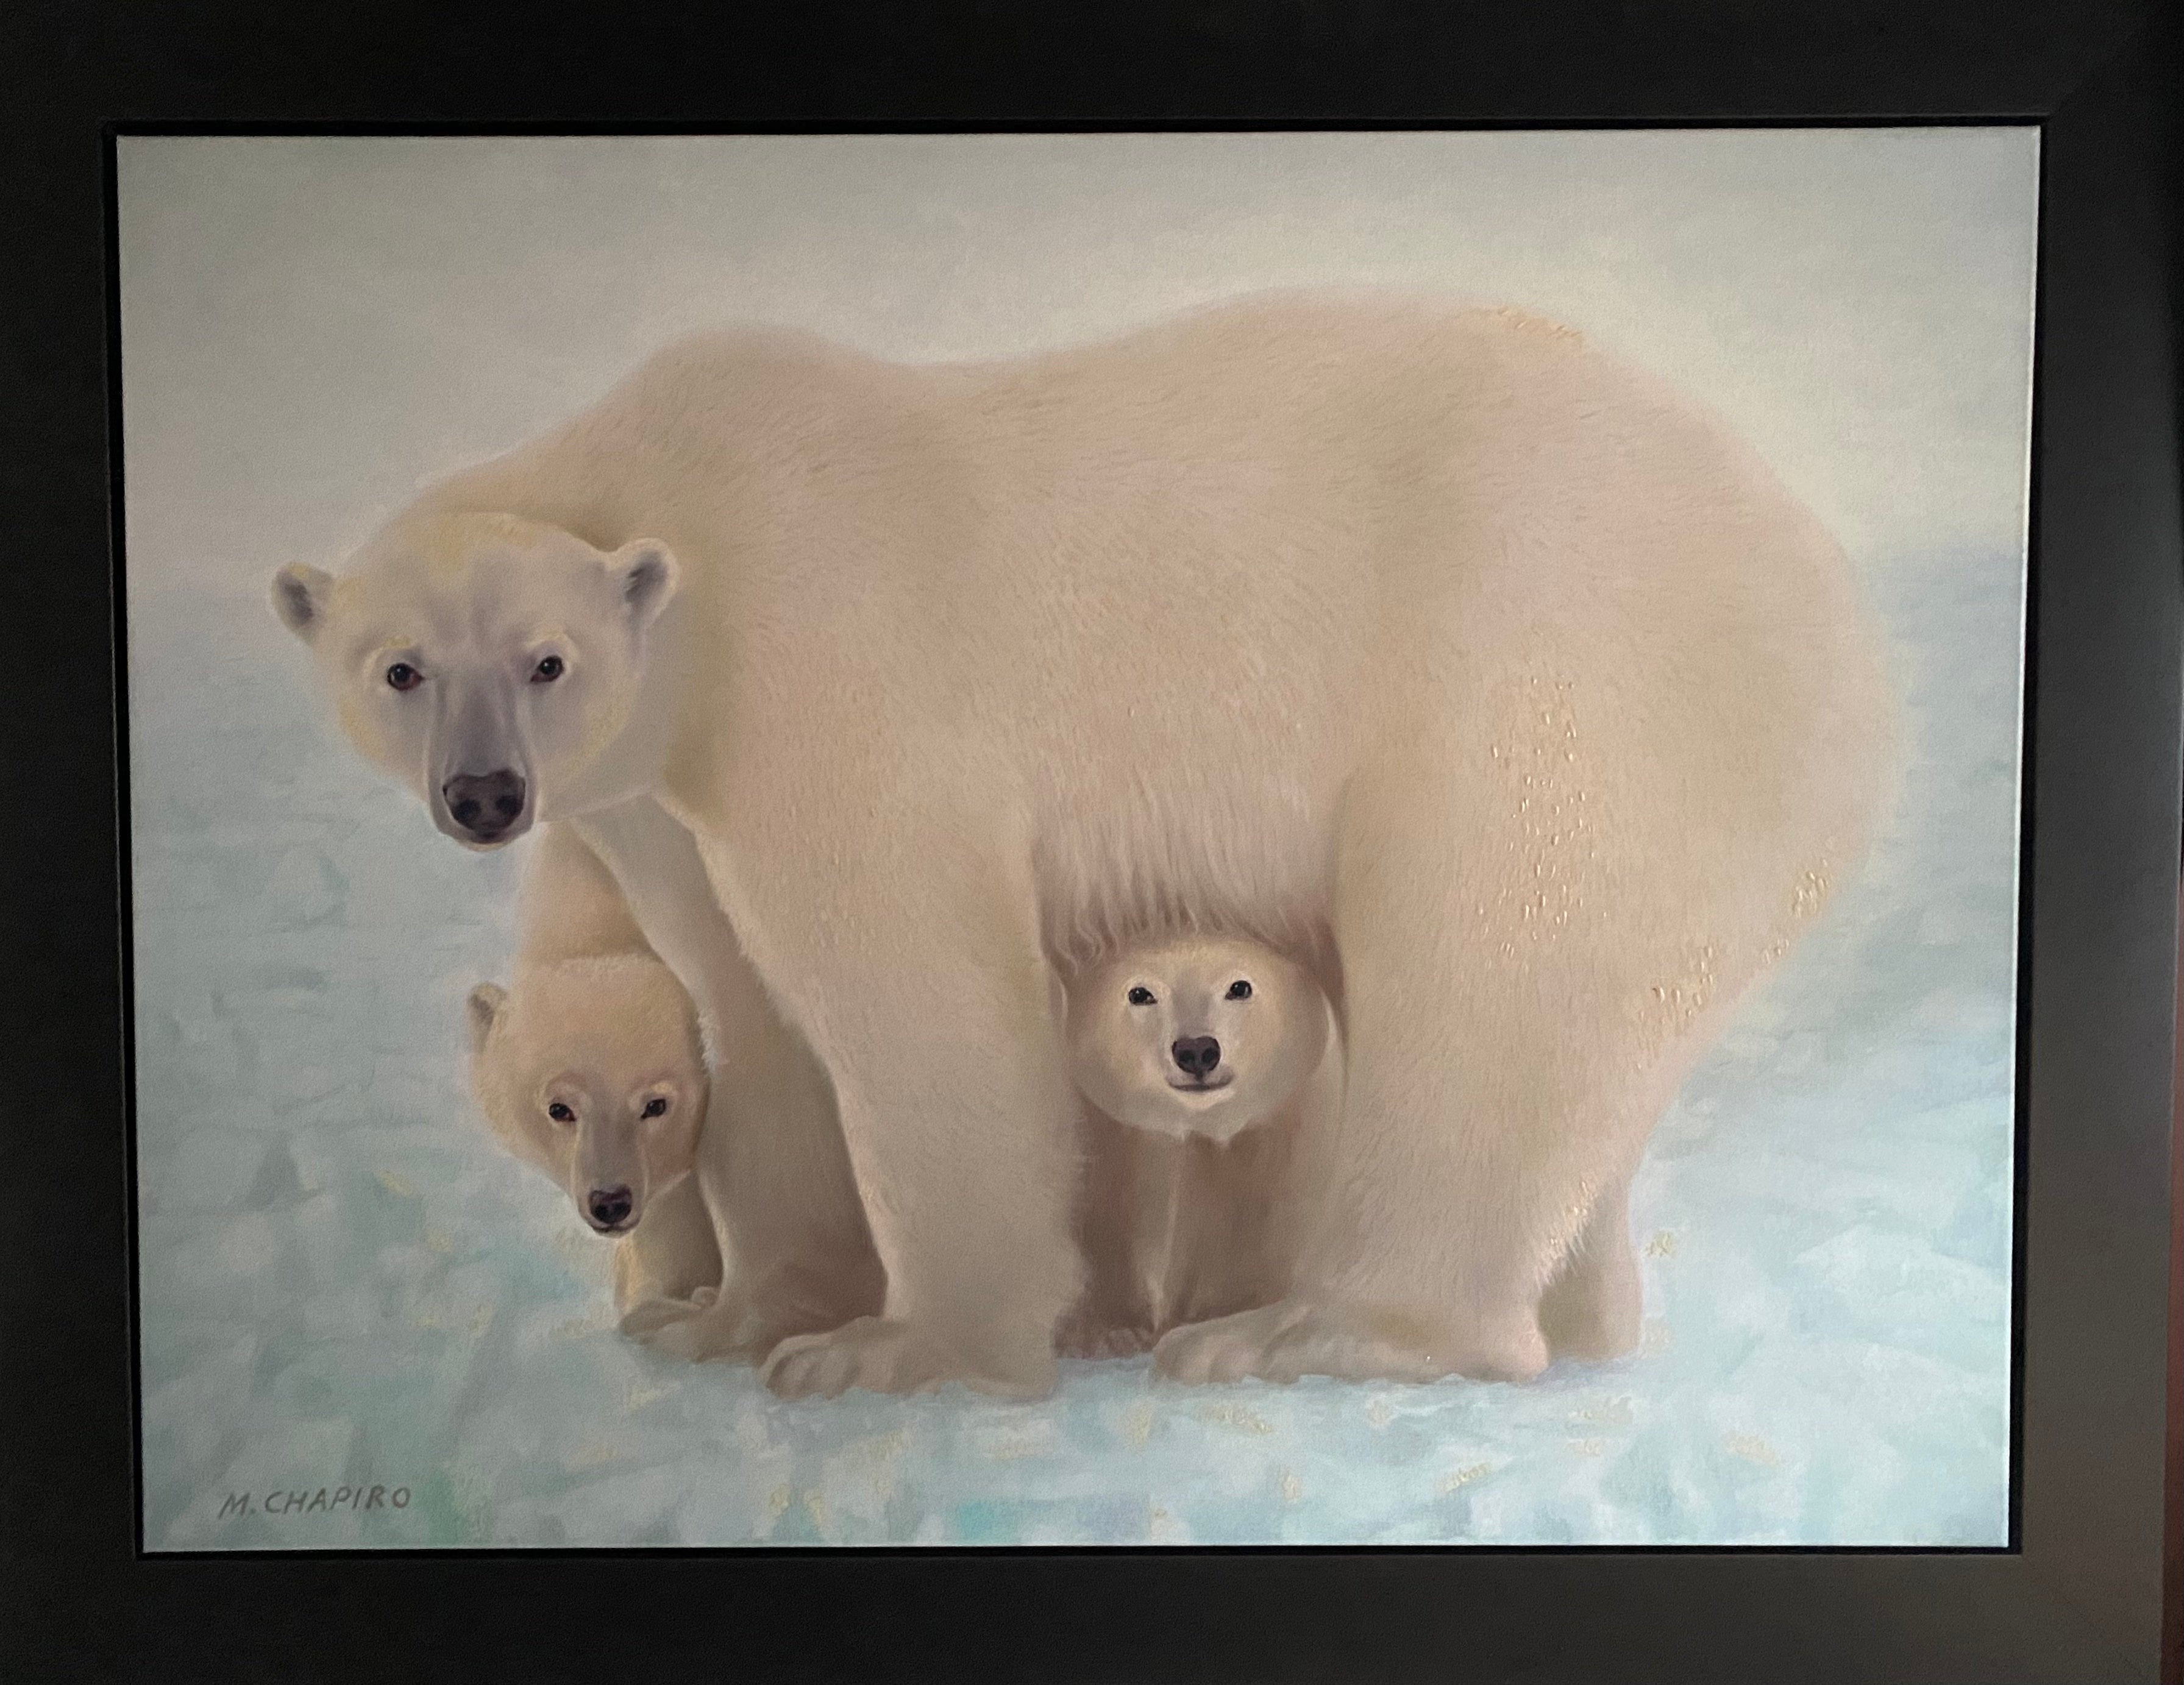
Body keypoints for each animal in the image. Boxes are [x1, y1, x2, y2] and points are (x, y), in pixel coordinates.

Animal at [273, 288, 1892, 1398]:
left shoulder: (823, 661)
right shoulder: (659, 795)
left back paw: (1304, 1330)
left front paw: (896, 1349)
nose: (484, 796)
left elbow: (915, 994)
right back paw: (1588, 1326)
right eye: (397, 666)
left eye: (542, 660)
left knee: (1484, 988)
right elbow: (745, 1017)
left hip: (1546, 693)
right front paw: (735, 1316)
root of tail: (1838, 610)